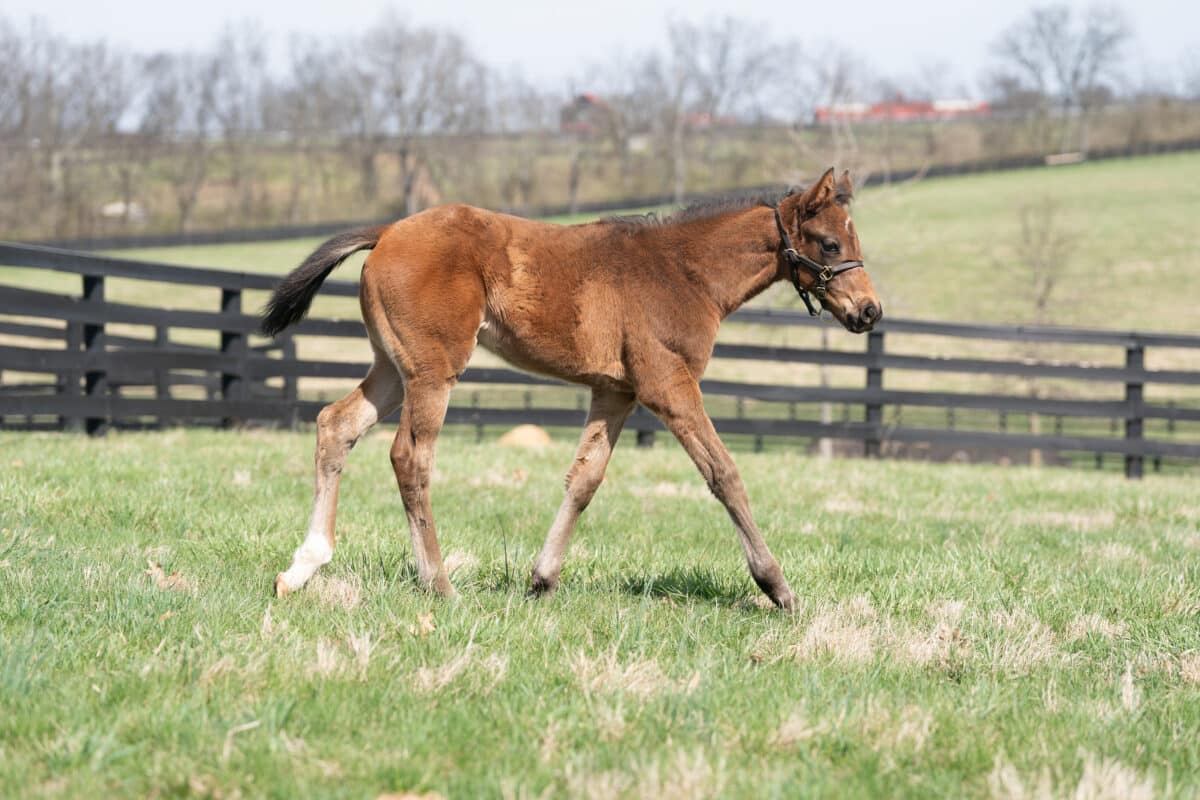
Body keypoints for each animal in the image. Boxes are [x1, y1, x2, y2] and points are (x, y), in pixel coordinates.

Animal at [265, 167, 883, 606]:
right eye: (829, 244)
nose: (869, 311)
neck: (684, 272)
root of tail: (388, 230)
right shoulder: (668, 385)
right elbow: (724, 474)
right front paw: (778, 588)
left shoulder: (616, 392)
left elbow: (584, 480)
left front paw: (541, 579)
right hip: (431, 372)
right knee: (410, 458)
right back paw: (438, 584)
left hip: (393, 368)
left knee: (336, 425)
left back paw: (302, 568)